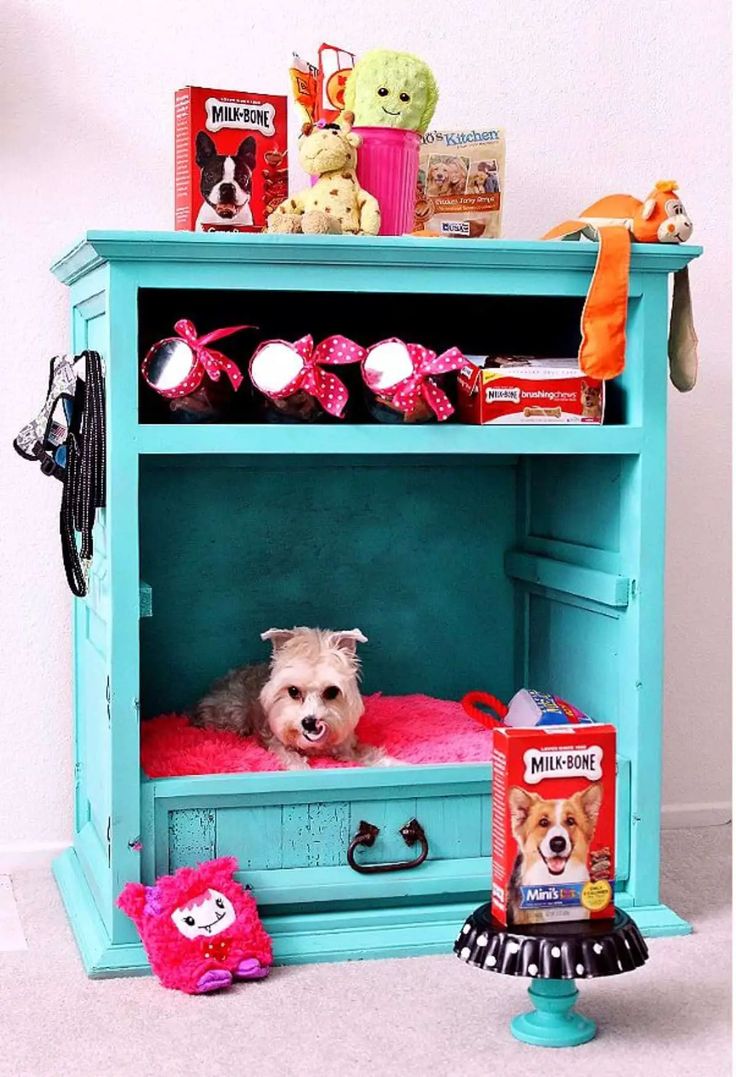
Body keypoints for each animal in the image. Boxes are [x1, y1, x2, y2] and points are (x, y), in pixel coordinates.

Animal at [192, 628, 394, 771]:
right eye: (293, 691)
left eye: (331, 692)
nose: (310, 722)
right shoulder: (277, 742)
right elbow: (291, 758)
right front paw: (301, 767)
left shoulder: (346, 746)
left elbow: (367, 754)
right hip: (235, 710)